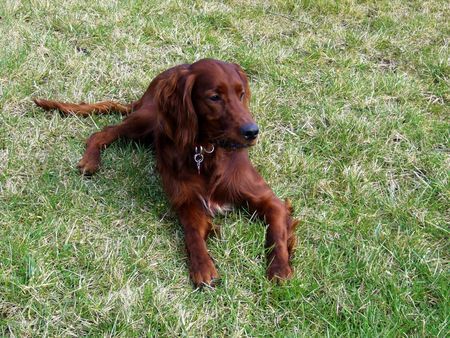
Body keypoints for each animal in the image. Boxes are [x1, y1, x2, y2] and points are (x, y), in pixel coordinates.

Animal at [33, 59, 298, 286]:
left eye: (241, 93)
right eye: (214, 97)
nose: (252, 131)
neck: (207, 153)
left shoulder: (269, 201)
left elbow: (276, 234)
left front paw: (279, 268)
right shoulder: (187, 201)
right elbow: (192, 234)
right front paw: (202, 267)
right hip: (149, 119)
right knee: (103, 132)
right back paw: (89, 161)